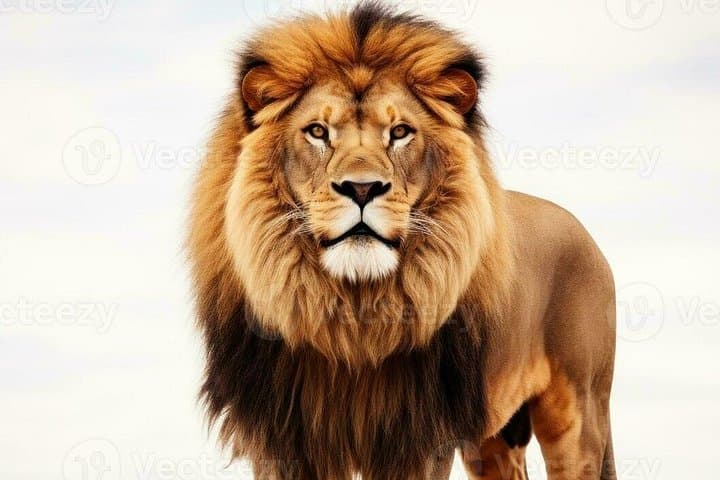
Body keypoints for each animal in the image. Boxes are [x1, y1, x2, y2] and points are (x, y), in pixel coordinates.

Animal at [188, 3, 616, 479]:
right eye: (317, 131)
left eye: (399, 132)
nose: (361, 188)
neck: (352, 313)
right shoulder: (283, 439)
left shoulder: (420, 438)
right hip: (493, 439)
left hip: (578, 410)